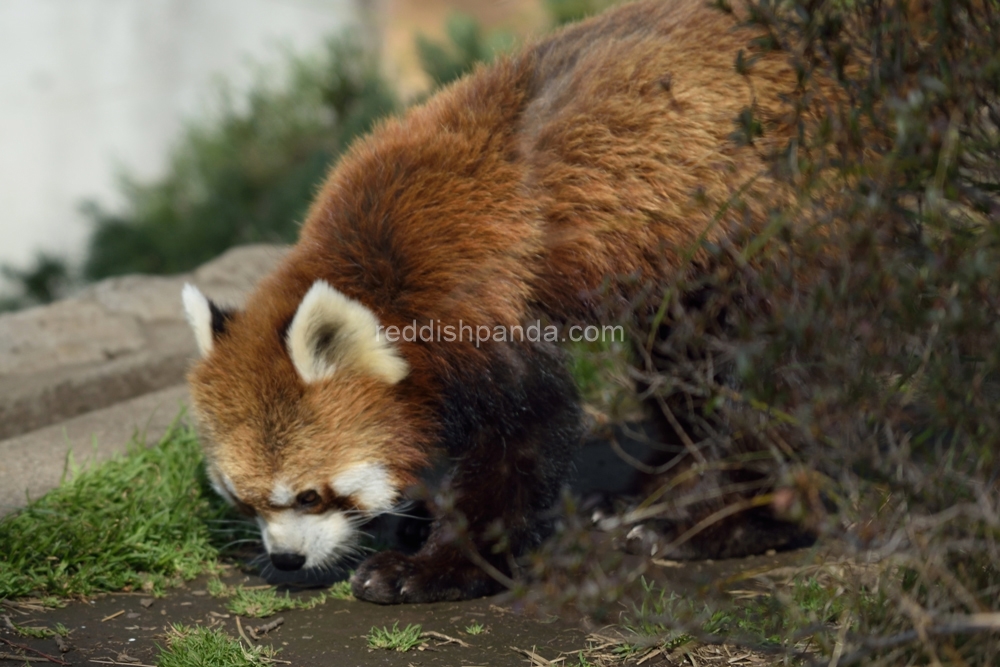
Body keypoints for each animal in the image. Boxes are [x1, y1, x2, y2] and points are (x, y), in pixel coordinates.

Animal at [180, 0, 804, 604]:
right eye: (244, 500)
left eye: (309, 495)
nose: (287, 558)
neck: (379, 271)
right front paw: (418, 519)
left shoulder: (477, 306)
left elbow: (526, 435)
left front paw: (436, 569)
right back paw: (657, 486)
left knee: (775, 381)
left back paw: (727, 523)